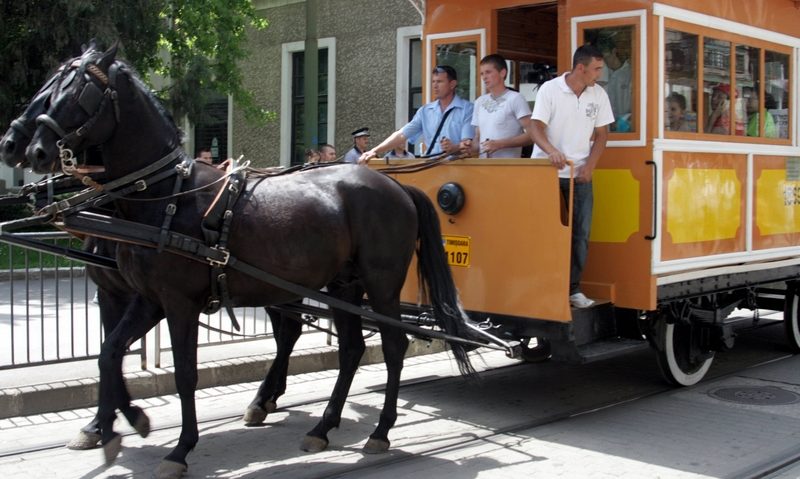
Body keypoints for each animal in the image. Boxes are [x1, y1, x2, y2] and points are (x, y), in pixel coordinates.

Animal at [26, 45, 476, 479]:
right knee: (349, 349)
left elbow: (184, 373)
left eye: (78, 92)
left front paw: (179, 448)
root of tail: (396, 187)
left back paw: (380, 430)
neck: (167, 196)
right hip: (341, 285)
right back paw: (321, 426)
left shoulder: (178, 303)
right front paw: (126, 421)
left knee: (392, 345)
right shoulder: (146, 299)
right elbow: (109, 352)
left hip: (381, 285)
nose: (30, 149)